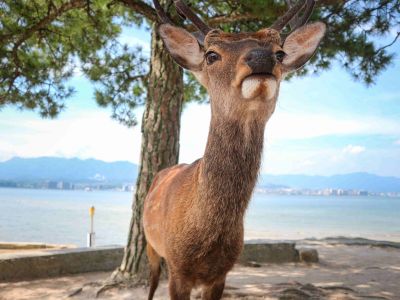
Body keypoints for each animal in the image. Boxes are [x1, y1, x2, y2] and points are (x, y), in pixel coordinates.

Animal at [143, 1, 324, 298]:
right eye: (211, 55)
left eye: (280, 52)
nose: (261, 57)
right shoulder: (177, 270)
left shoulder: (222, 274)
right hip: (150, 243)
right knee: (152, 280)